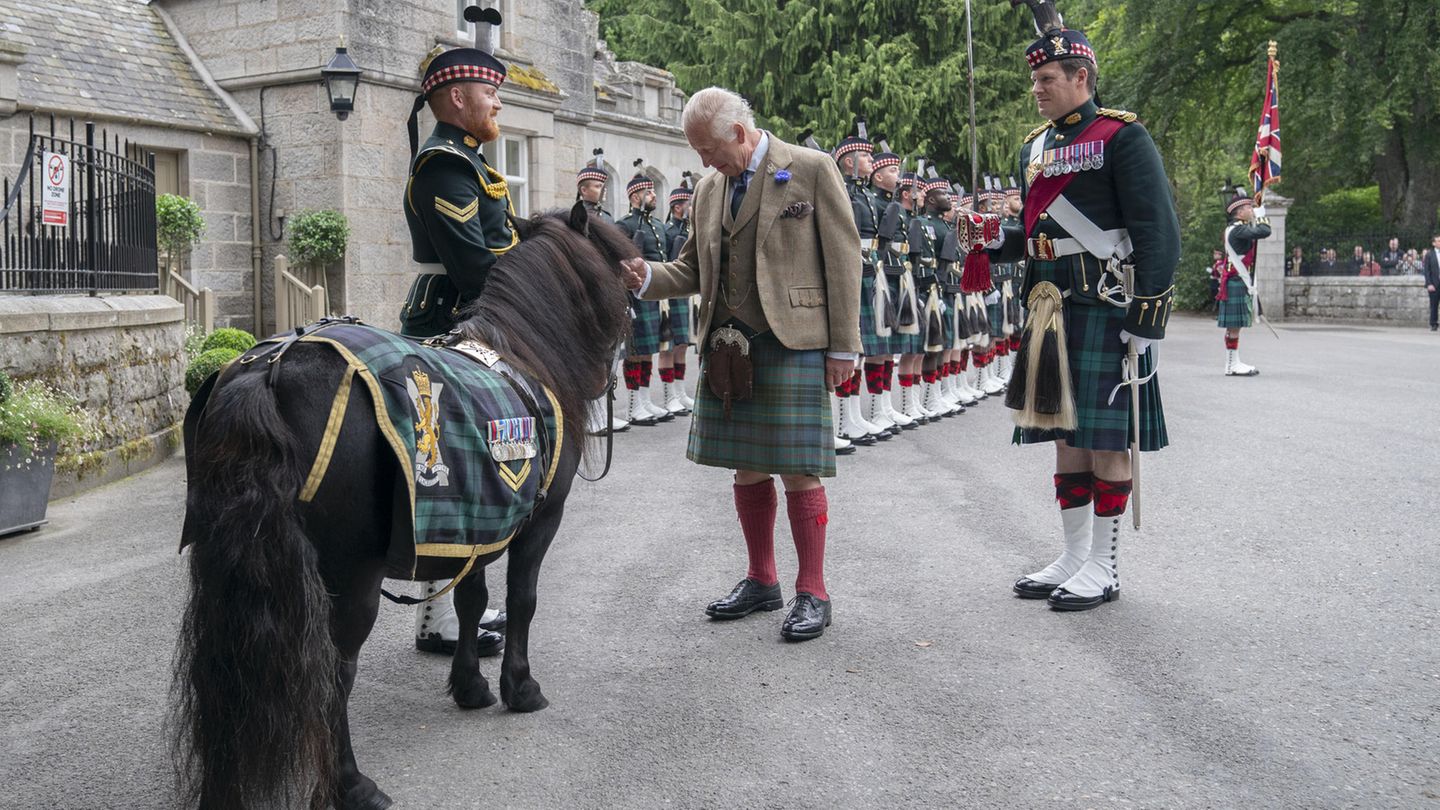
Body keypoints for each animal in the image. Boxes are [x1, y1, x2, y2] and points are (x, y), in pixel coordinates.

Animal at [171, 203, 633, 807]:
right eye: (615, 258)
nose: (638, 296)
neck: (524, 353)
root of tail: (269, 369)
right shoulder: (537, 523)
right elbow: (522, 599)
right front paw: (521, 687)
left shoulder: (476, 521)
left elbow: (471, 600)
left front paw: (470, 685)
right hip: (350, 579)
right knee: (335, 673)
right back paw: (351, 784)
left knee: (222, 670)